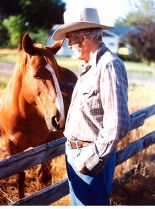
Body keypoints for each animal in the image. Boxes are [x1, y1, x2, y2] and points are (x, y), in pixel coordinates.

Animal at [0, 34, 77, 199]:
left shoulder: (46, 146)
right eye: (36, 75)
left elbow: (43, 177)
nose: (58, 119)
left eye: (57, 75)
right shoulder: (11, 147)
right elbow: (20, 178)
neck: (24, 117)